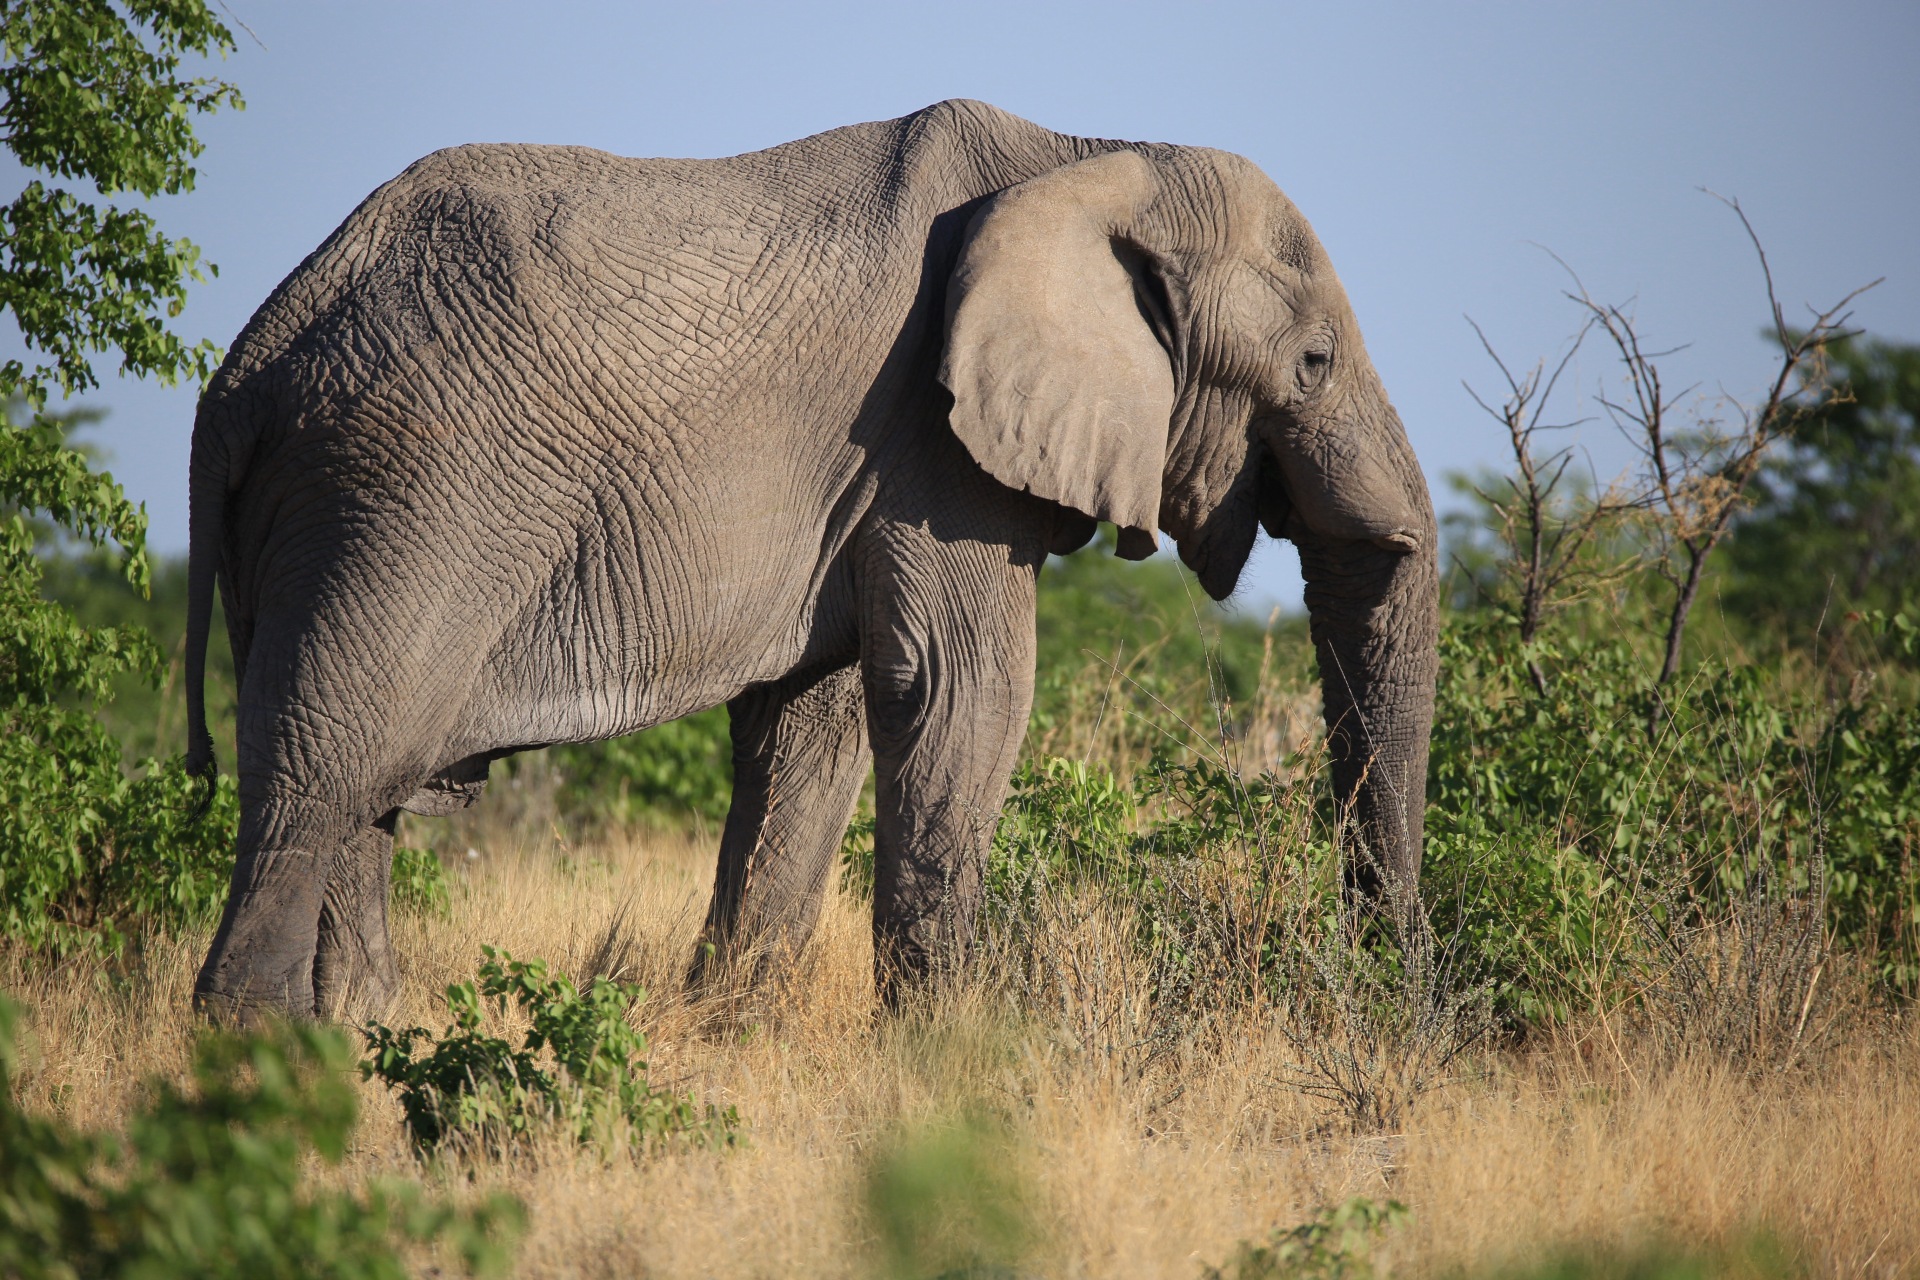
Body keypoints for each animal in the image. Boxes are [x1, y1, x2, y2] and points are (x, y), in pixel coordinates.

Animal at [183, 97, 1443, 1020]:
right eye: (1315, 362)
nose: (1389, 986)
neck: (1092, 155)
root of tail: (245, 365)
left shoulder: (868, 480)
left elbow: (812, 722)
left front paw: (735, 1028)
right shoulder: (934, 449)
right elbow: (964, 694)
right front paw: (950, 1059)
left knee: (365, 799)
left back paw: (357, 1036)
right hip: (405, 494)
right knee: (328, 765)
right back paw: (258, 1057)